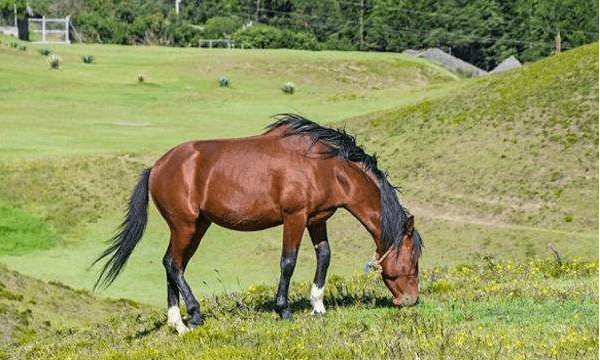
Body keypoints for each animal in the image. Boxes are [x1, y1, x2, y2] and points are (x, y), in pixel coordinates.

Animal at [94, 114, 422, 334]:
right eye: (412, 259)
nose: (410, 300)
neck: (324, 166)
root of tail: (156, 167)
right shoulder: (294, 217)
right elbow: (288, 261)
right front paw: (284, 310)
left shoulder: (317, 220)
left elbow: (325, 257)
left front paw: (317, 306)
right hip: (184, 225)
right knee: (173, 264)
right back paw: (194, 316)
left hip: (198, 226)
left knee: (173, 265)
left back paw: (179, 323)